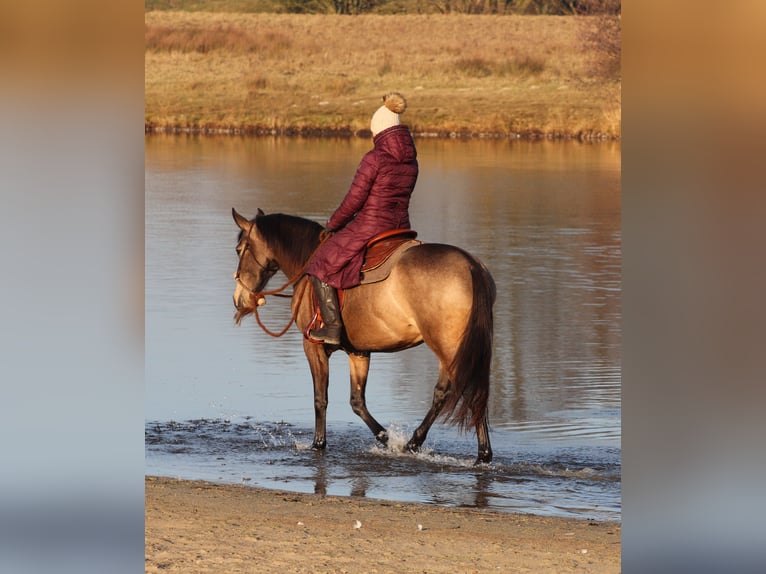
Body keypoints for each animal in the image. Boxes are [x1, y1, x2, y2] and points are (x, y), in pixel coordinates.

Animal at [232, 209, 498, 466]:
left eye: (239, 249)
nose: (238, 299)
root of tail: (471, 266)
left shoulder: (313, 347)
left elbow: (320, 399)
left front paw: (318, 444)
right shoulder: (359, 352)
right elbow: (357, 401)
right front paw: (386, 439)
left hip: (448, 348)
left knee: (456, 391)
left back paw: (421, 444)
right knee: (466, 393)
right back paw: (476, 453)